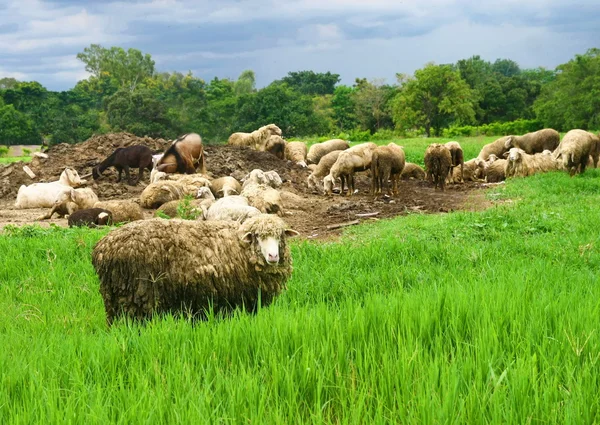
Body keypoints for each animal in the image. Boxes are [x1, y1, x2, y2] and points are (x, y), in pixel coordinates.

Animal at [92, 215, 300, 324]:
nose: (273, 256)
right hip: (134, 295)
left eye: (280, 236)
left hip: (113, 297)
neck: (241, 247)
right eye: (258, 236)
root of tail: (102, 248)